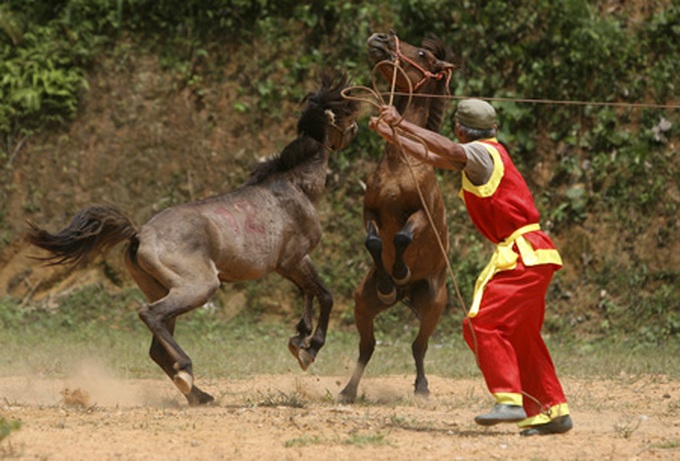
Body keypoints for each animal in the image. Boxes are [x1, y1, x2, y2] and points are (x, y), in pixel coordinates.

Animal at [26, 71, 359, 406]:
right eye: (346, 111)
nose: (355, 132)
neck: (293, 185)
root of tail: (140, 234)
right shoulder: (295, 259)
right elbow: (325, 295)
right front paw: (309, 348)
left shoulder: (292, 264)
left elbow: (309, 294)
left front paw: (300, 339)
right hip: (198, 287)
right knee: (151, 317)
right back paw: (187, 372)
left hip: (165, 289)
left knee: (157, 346)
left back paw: (199, 395)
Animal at [339, 31, 456, 403]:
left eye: (421, 54)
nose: (381, 38)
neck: (401, 162)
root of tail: (409, 297)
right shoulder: (371, 211)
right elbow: (374, 240)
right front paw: (388, 281)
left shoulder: (420, 214)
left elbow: (403, 235)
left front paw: (401, 270)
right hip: (363, 304)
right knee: (367, 347)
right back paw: (347, 390)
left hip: (433, 306)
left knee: (419, 347)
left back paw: (422, 387)